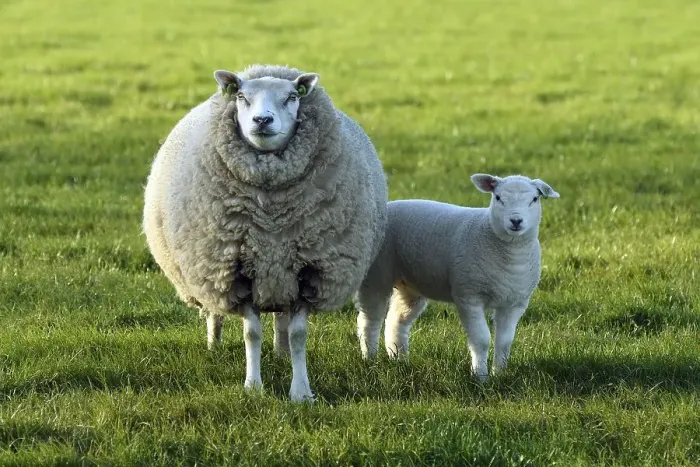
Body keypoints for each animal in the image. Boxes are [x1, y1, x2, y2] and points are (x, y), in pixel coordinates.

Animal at [143, 64, 388, 401]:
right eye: (242, 97)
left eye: (291, 97)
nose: (262, 120)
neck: (272, 219)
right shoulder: (237, 272)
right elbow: (251, 333)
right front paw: (254, 386)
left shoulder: (308, 273)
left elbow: (298, 335)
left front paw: (301, 392)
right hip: (213, 274)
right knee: (215, 313)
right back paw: (214, 344)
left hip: (278, 278)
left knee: (280, 321)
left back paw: (281, 353)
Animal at [355, 174, 559, 380]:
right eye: (498, 197)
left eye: (534, 199)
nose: (516, 221)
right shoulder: (469, 296)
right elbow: (482, 340)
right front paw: (481, 377)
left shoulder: (514, 303)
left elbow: (504, 341)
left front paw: (500, 374)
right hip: (376, 275)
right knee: (369, 321)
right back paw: (370, 359)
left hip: (410, 285)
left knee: (396, 321)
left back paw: (399, 359)